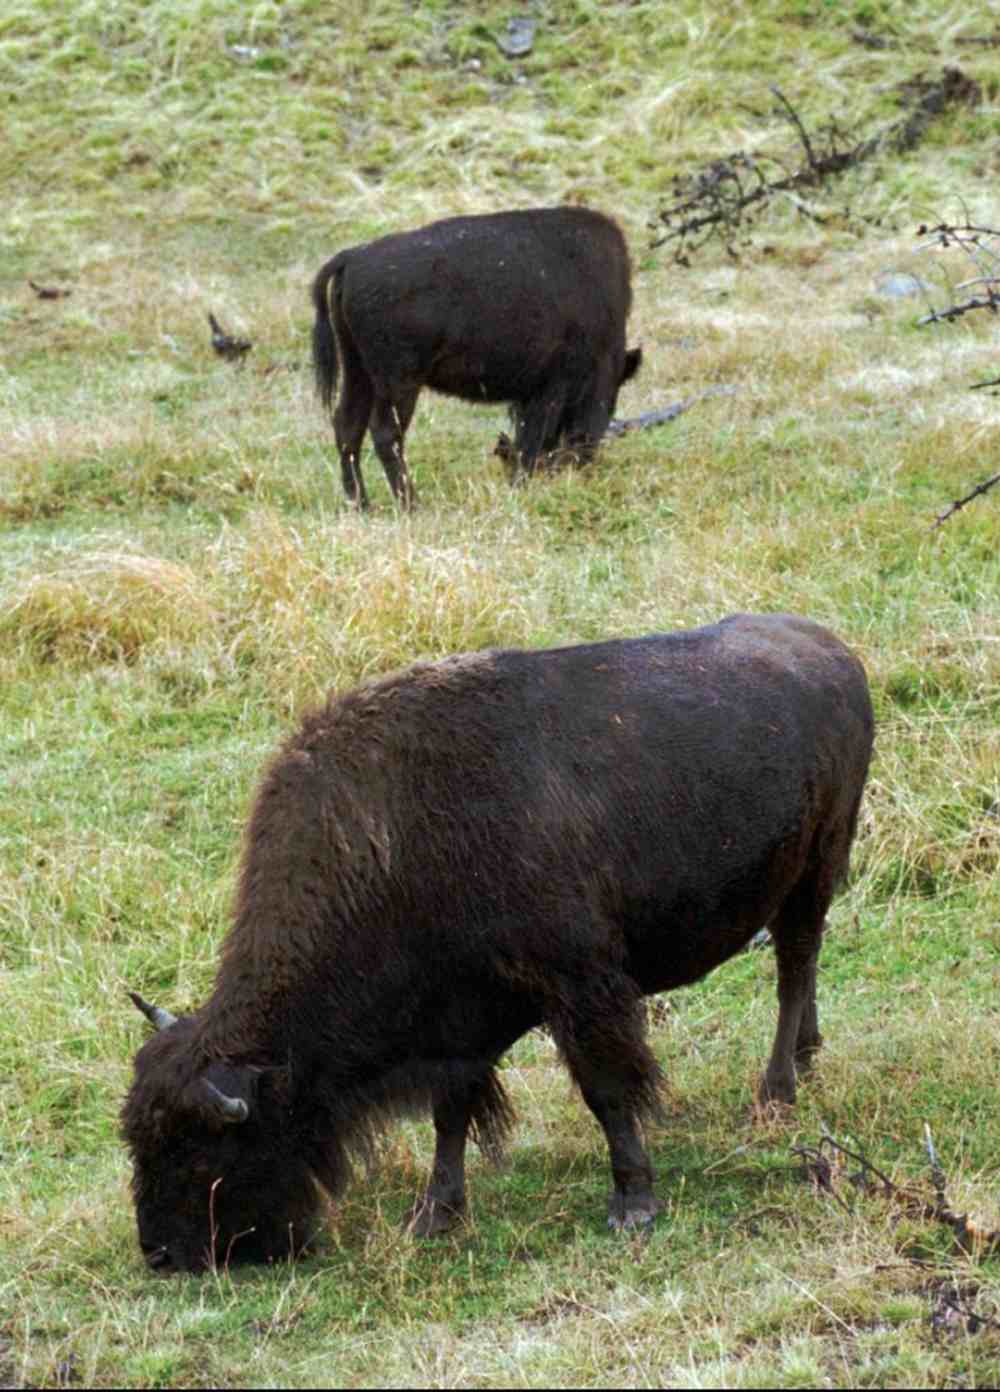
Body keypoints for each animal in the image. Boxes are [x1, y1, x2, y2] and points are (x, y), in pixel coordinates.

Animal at [123, 612, 880, 1275]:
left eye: (202, 1151)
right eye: (137, 1140)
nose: (161, 1254)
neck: (396, 839)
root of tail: (835, 652)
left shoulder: (581, 990)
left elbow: (607, 1092)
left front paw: (632, 1203)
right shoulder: (455, 1028)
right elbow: (450, 1115)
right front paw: (435, 1215)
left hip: (814, 870)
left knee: (793, 968)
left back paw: (776, 1091)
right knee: (802, 970)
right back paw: (806, 1059)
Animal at [311, 203, 643, 509]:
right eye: (609, 400)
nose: (581, 466)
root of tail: (353, 258)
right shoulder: (552, 387)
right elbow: (534, 439)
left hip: (358, 371)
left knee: (348, 426)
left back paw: (362, 505)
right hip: (399, 382)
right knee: (385, 434)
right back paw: (412, 506)